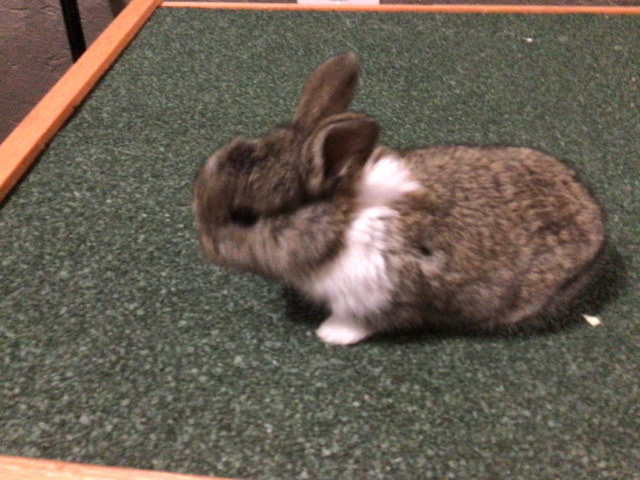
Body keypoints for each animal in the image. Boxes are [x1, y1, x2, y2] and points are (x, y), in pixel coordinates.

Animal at [193, 52, 605, 346]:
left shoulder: (374, 294)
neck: (339, 225)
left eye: (244, 217)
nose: (206, 248)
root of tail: (598, 224)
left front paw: (330, 334)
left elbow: (363, 321)